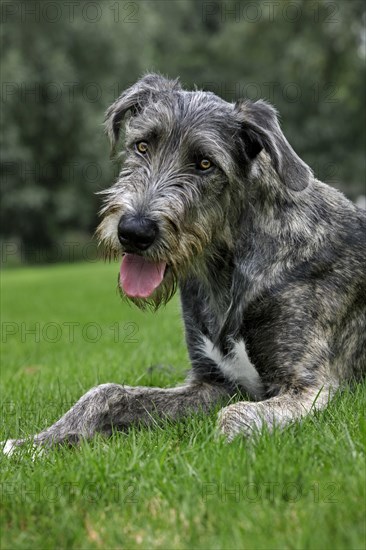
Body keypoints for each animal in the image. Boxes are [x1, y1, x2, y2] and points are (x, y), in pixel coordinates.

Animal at [2, 74, 364, 458]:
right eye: (142, 146)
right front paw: (35, 442)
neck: (225, 271)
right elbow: (106, 392)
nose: (134, 231)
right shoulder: (213, 383)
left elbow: (234, 415)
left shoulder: (308, 388)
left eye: (205, 163)